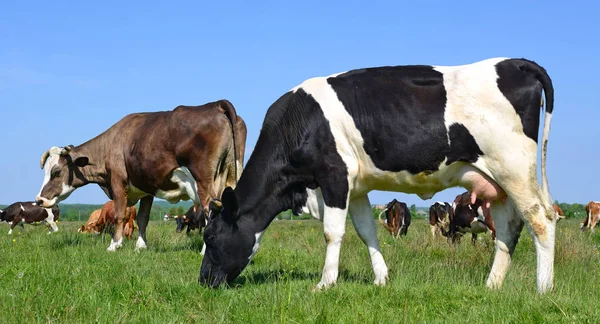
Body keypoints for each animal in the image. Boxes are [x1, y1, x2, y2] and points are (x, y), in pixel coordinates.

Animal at [35, 99, 246, 253]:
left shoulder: (118, 181)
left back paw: (205, 251)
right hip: (231, 175)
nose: (39, 200)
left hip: (203, 181)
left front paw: (114, 245)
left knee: (211, 210)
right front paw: (140, 246)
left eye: (56, 172)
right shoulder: (146, 189)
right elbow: (143, 218)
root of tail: (215, 104)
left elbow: (120, 215)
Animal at [199, 57, 556, 294]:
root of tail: (513, 62)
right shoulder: (356, 188)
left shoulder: (334, 175)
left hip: (514, 169)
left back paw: (543, 289)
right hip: (496, 183)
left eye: (210, 237)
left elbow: (332, 233)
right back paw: (491, 286)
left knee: (541, 219)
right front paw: (381, 278)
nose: (202, 282)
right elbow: (367, 231)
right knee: (508, 229)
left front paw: (325, 282)